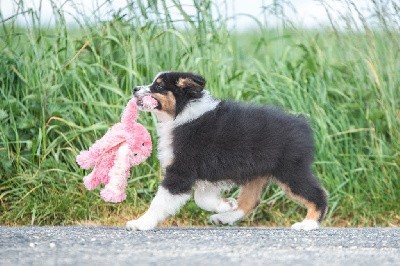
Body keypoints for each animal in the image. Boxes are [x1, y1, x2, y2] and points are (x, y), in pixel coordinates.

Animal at [128, 71, 328, 231]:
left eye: (159, 85)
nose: (135, 88)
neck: (182, 113)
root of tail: (302, 124)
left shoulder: (182, 171)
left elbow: (160, 201)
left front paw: (141, 223)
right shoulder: (210, 173)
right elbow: (202, 198)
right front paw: (225, 204)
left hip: (290, 170)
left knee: (318, 194)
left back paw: (308, 224)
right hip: (257, 172)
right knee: (249, 202)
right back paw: (225, 217)